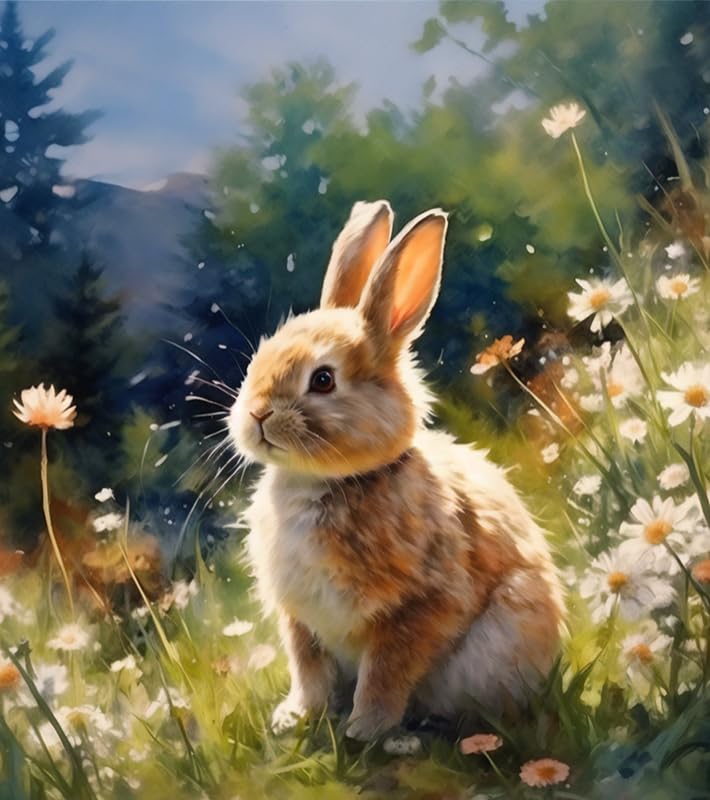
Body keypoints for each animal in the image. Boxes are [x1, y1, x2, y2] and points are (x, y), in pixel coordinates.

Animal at [228, 200, 565, 741]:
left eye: (323, 380)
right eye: (259, 358)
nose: (257, 414)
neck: (325, 482)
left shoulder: (420, 606)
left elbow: (387, 670)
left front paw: (364, 729)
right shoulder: (300, 620)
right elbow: (308, 670)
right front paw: (296, 718)